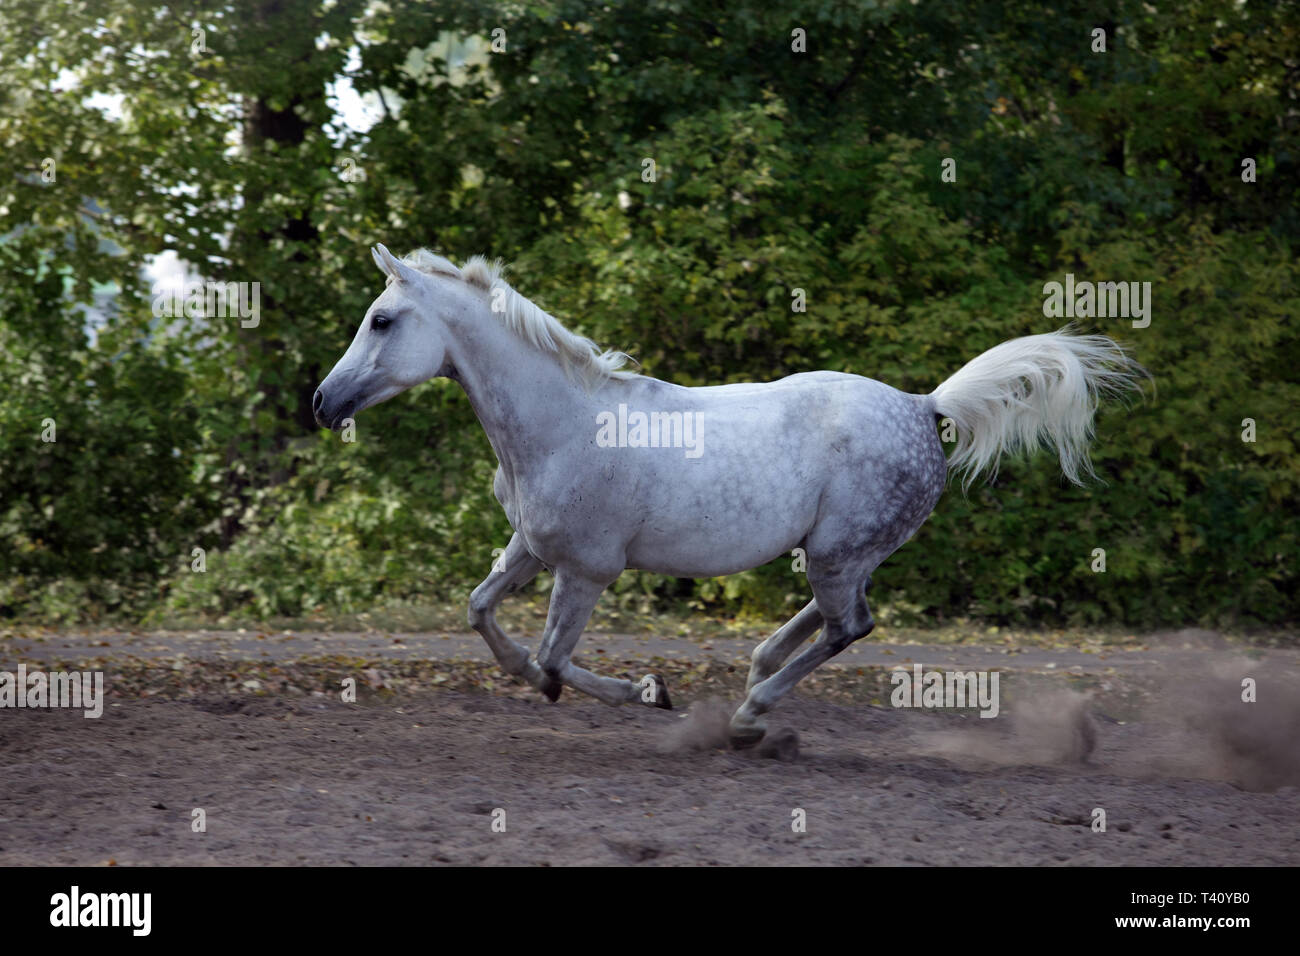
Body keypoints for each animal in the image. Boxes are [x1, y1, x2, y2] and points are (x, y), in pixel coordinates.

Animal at [312, 244, 1138, 749]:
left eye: (382, 319)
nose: (322, 402)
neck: (562, 423)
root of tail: (922, 404)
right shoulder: (530, 548)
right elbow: (482, 613)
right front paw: (543, 683)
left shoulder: (585, 570)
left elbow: (554, 656)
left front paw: (649, 691)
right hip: (836, 551)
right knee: (833, 620)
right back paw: (756, 679)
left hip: (837, 552)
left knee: (850, 625)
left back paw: (749, 714)